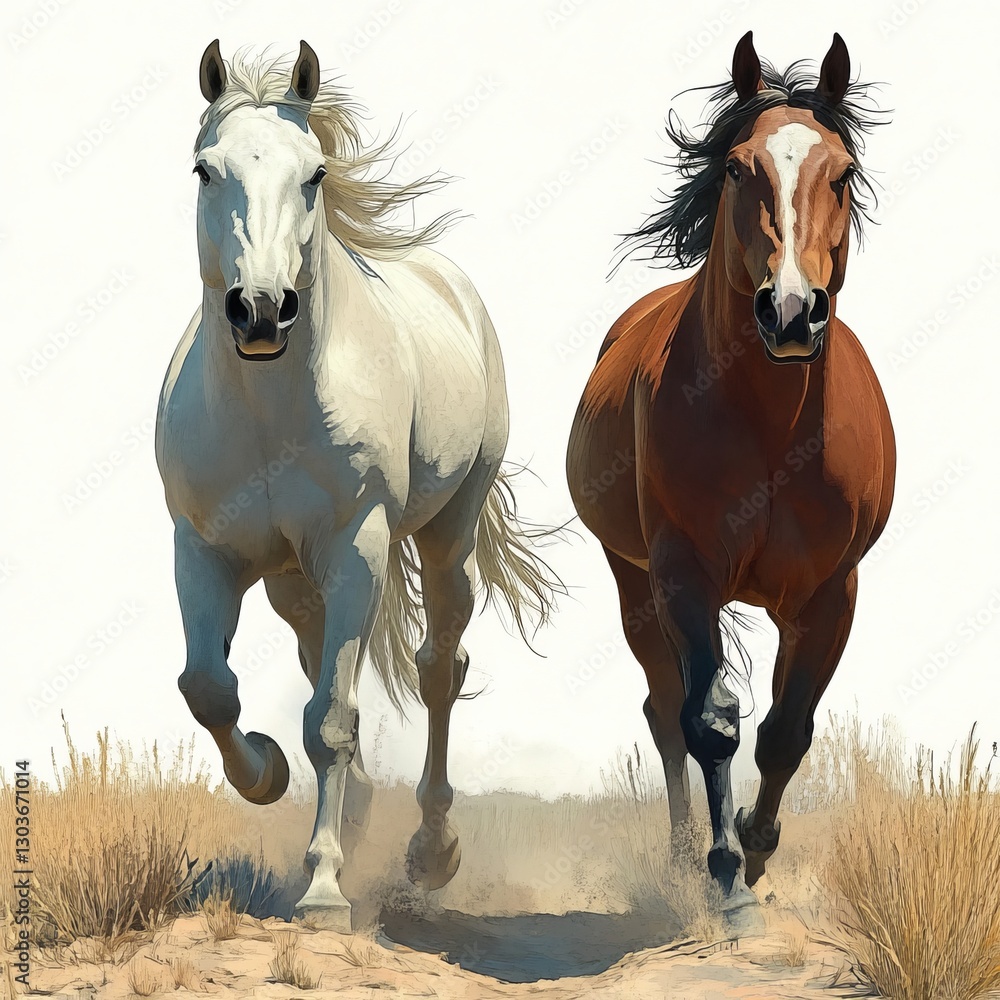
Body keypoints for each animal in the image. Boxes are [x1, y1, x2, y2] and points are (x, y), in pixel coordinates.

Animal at [156, 40, 561, 930]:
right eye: (204, 169)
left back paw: (431, 851)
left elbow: (331, 721)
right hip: (292, 580)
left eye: (314, 174)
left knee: (440, 666)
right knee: (318, 663)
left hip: (443, 537)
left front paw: (322, 887)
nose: (261, 311)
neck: (270, 412)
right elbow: (209, 689)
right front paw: (264, 773)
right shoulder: (203, 550)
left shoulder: (357, 547)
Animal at [566, 31, 895, 927]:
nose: (790, 313)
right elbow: (711, 720)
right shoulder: (685, 573)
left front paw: (755, 848)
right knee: (664, 712)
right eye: (741, 169)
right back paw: (684, 857)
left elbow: (787, 729)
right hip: (633, 580)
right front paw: (724, 880)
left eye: (841, 171)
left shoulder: (830, 593)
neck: (772, 426)